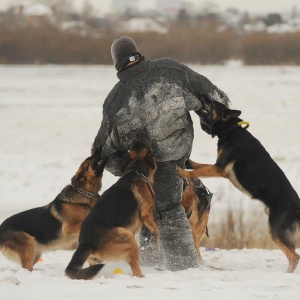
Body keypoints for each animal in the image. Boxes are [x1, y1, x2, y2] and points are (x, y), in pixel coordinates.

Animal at [65, 142, 159, 280]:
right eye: (150, 151)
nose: (138, 141)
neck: (136, 171)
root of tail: (86, 243)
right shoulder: (147, 214)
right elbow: (156, 229)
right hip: (128, 237)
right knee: (135, 268)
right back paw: (142, 276)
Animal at [177, 102, 300, 274]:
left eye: (213, 105)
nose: (202, 100)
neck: (232, 130)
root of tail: (297, 208)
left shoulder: (220, 168)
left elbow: (198, 171)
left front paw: (182, 171)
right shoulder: (217, 165)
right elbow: (200, 165)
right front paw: (188, 162)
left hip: (276, 232)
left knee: (294, 257)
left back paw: (286, 273)